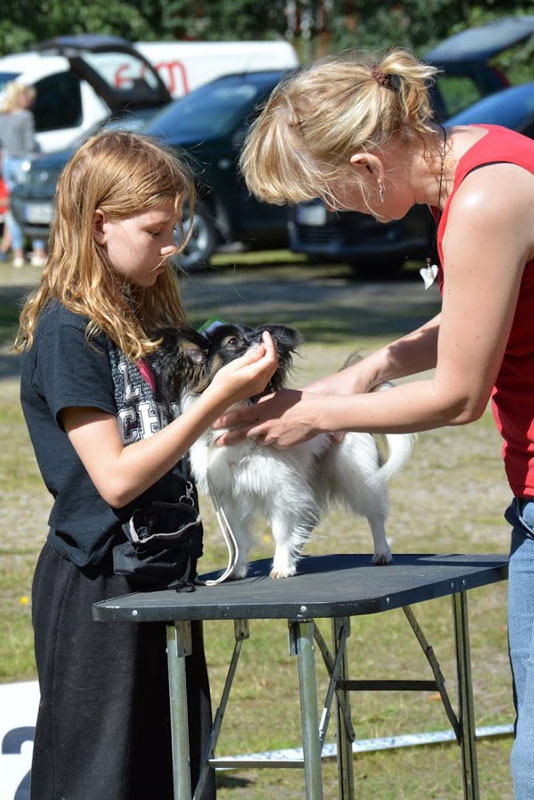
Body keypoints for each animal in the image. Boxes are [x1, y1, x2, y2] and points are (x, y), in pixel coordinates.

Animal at [158, 322, 415, 579]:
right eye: (233, 342)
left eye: (255, 333)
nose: (266, 338)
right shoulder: (229, 497)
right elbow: (238, 539)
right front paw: (237, 569)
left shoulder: (281, 490)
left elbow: (280, 531)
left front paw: (282, 565)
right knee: (309, 516)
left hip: (357, 475)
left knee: (374, 516)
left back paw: (381, 552)